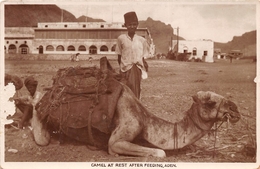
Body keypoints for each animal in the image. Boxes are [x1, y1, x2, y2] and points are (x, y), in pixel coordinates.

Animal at [31, 80, 240, 157]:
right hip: (43, 121)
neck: (146, 121)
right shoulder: (121, 135)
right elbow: (160, 153)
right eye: (210, 102)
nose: (235, 109)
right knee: (41, 135)